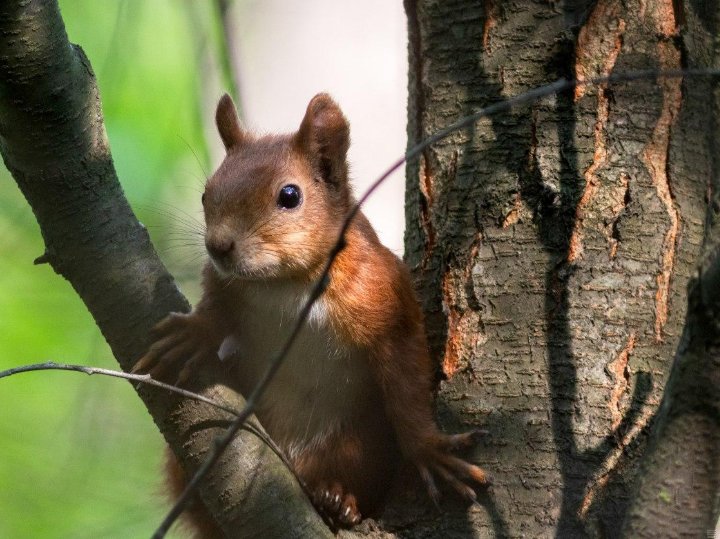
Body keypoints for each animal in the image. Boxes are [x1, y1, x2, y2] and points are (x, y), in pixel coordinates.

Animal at [134, 93, 490, 536]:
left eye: (290, 195)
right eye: (205, 194)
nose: (218, 246)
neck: (286, 284)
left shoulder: (388, 301)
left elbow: (407, 382)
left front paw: (428, 450)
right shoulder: (224, 283)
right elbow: (215, 309)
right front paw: (195, 332)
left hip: (356, 444)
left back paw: (336, 500)